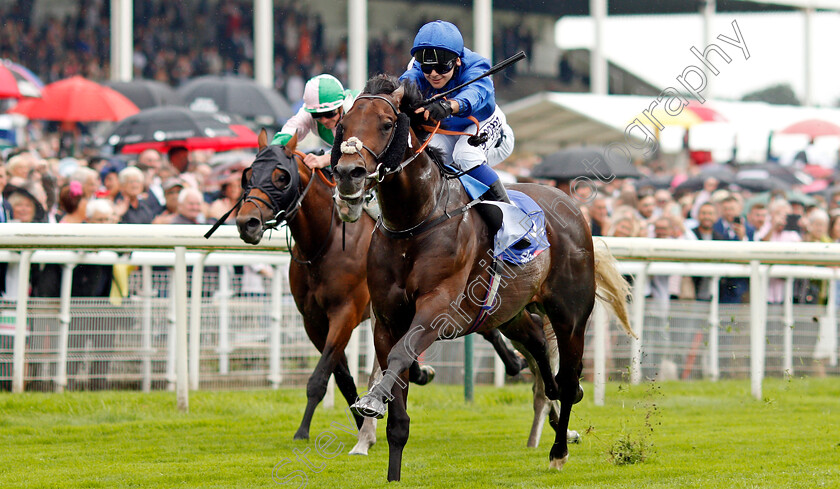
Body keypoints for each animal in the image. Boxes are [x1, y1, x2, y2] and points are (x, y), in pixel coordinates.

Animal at [332, 76, 632, 480]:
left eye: (385, 123)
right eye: (343, 125)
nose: (349, 175)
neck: (416, 221)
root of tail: (571, 206)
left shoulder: (437, 309)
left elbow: (401, 355)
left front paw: (375, 400)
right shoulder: (386, 320)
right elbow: (398, 396)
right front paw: (391, 468)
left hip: (570, 315)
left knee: (569, 380)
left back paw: (558, 450)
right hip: (510, 311)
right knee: (539, 345)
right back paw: (550, 397)